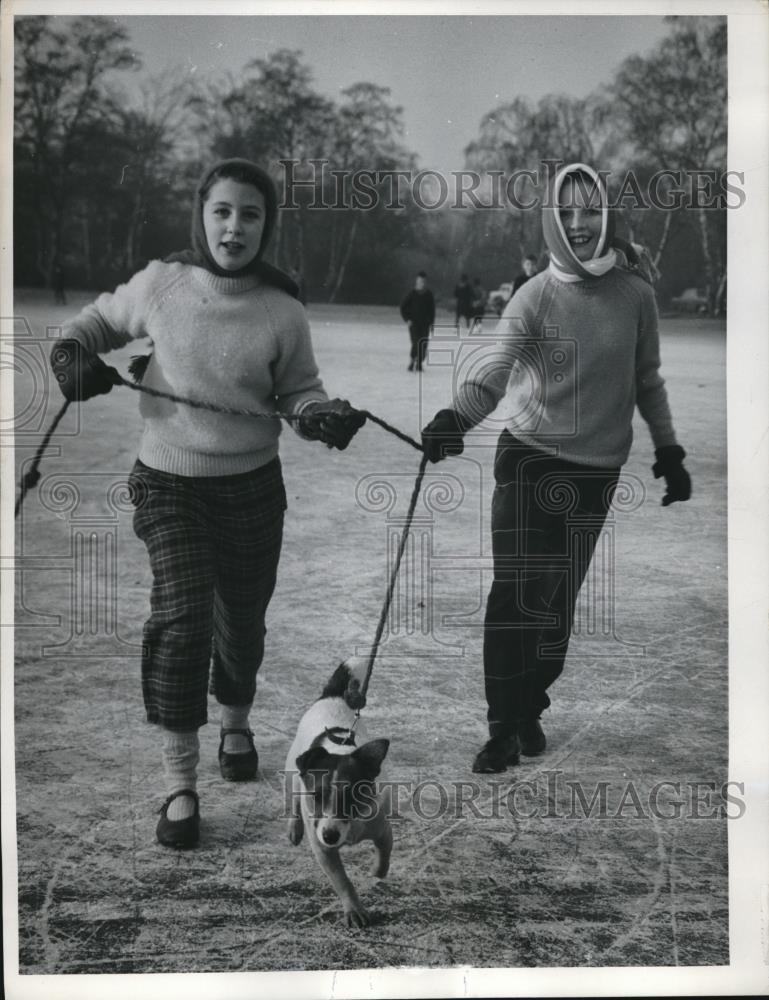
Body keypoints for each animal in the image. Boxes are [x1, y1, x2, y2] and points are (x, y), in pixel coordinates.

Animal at [284, 660, 390, 924]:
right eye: (316, 796)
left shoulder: (382, 828)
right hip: (292, 771)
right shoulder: (323, 849)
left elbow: (384, 853)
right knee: (293, 798)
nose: (330, 836)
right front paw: (354, 909)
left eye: (352, 796)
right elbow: (342, 880)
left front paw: (377, 871)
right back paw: (294, 827)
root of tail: (332, 695)